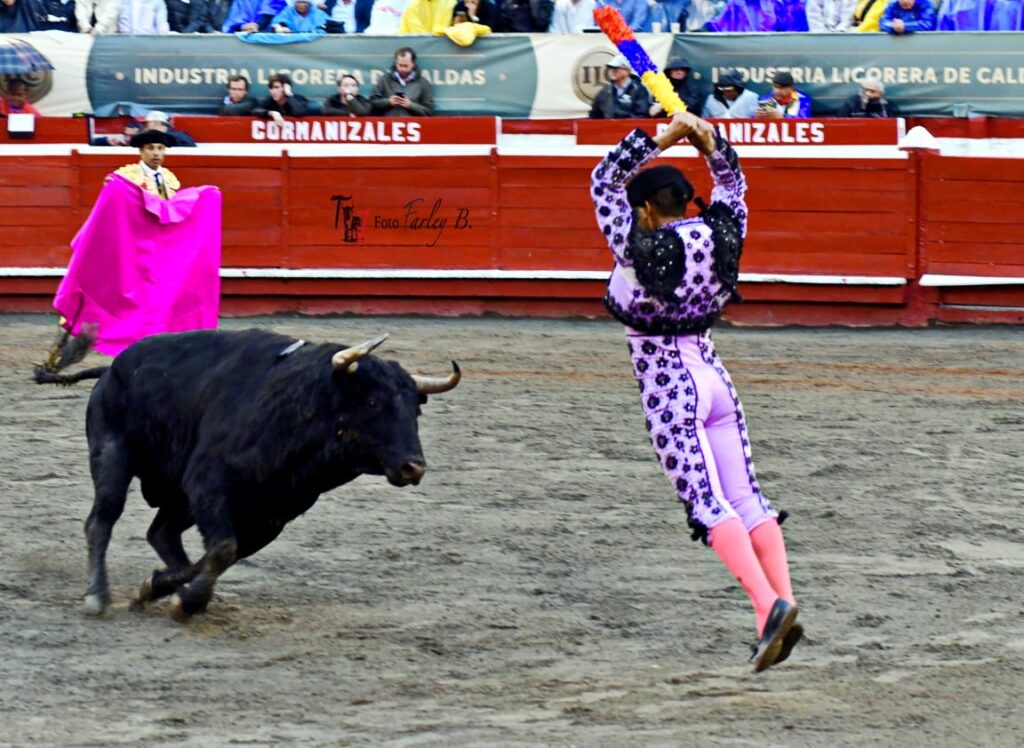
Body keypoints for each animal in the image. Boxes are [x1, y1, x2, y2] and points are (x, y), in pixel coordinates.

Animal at [35, 328, 460, 621]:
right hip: (113, 458)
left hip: (178, 498)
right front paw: (185, 601)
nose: (413, 466)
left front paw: (163, 590)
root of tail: (111, 369)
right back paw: (97, 596)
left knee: (162, 534)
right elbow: (223, 549)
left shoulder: (272, 517)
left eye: (415, 410)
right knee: (102, 521)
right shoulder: (207, 483)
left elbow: (221, 554)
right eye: (372, 402)